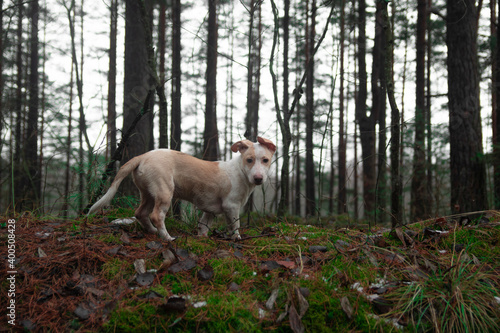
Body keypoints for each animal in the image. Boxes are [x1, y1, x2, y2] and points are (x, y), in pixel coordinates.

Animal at [86, 136, 276, 240]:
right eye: (249, 160)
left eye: (265, 160)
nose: (258, 178)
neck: (240, 172)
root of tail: (143, 156)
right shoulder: (231, 206)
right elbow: (235, 226)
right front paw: (237, 238)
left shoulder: (210, 210)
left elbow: (203, 226)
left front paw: (202, 238)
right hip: (164, 192)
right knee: (156, 216)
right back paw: (167, 237)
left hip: (149, 193)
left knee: (140, 213)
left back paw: (153, 232)